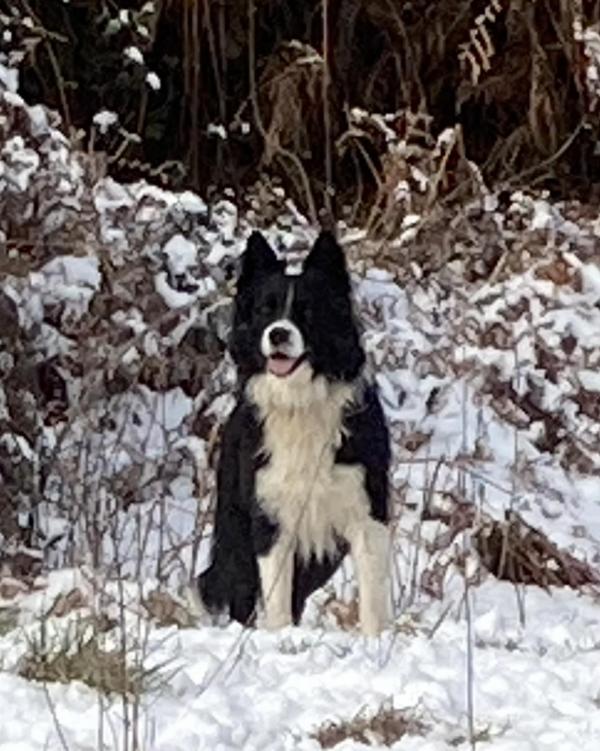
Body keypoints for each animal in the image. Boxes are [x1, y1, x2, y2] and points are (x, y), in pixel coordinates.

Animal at [199, 229, 392, 636]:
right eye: (265, 311)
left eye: (306, 311)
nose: (278, 334)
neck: (299, 402)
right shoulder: (269, 519)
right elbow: (276, 599)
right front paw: (280, 636)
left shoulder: (366, 512)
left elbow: (371, 598)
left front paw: (375, 640)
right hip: (235, 525)